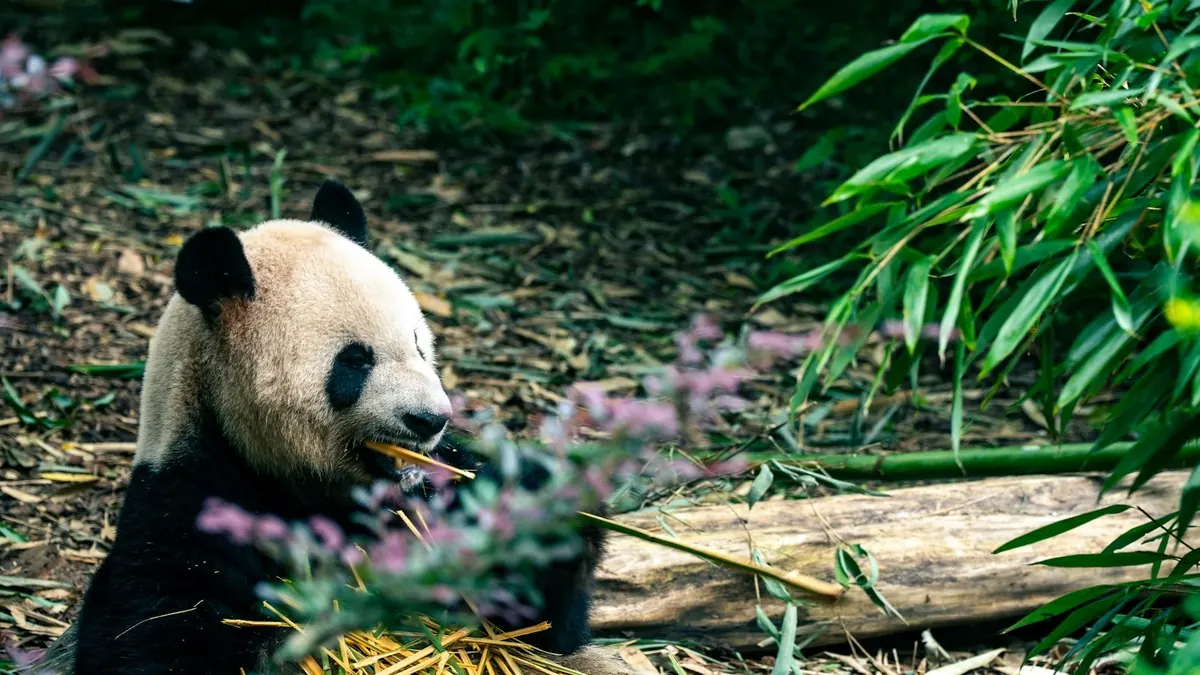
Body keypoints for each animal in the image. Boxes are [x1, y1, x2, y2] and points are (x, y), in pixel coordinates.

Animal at [35, 181, 631, 675]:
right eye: (355, 362)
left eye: (420, 345)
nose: (430, 419)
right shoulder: (191, 505)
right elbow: (156, 627)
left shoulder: (426, 504)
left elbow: (537, 624)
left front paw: (542, 506)